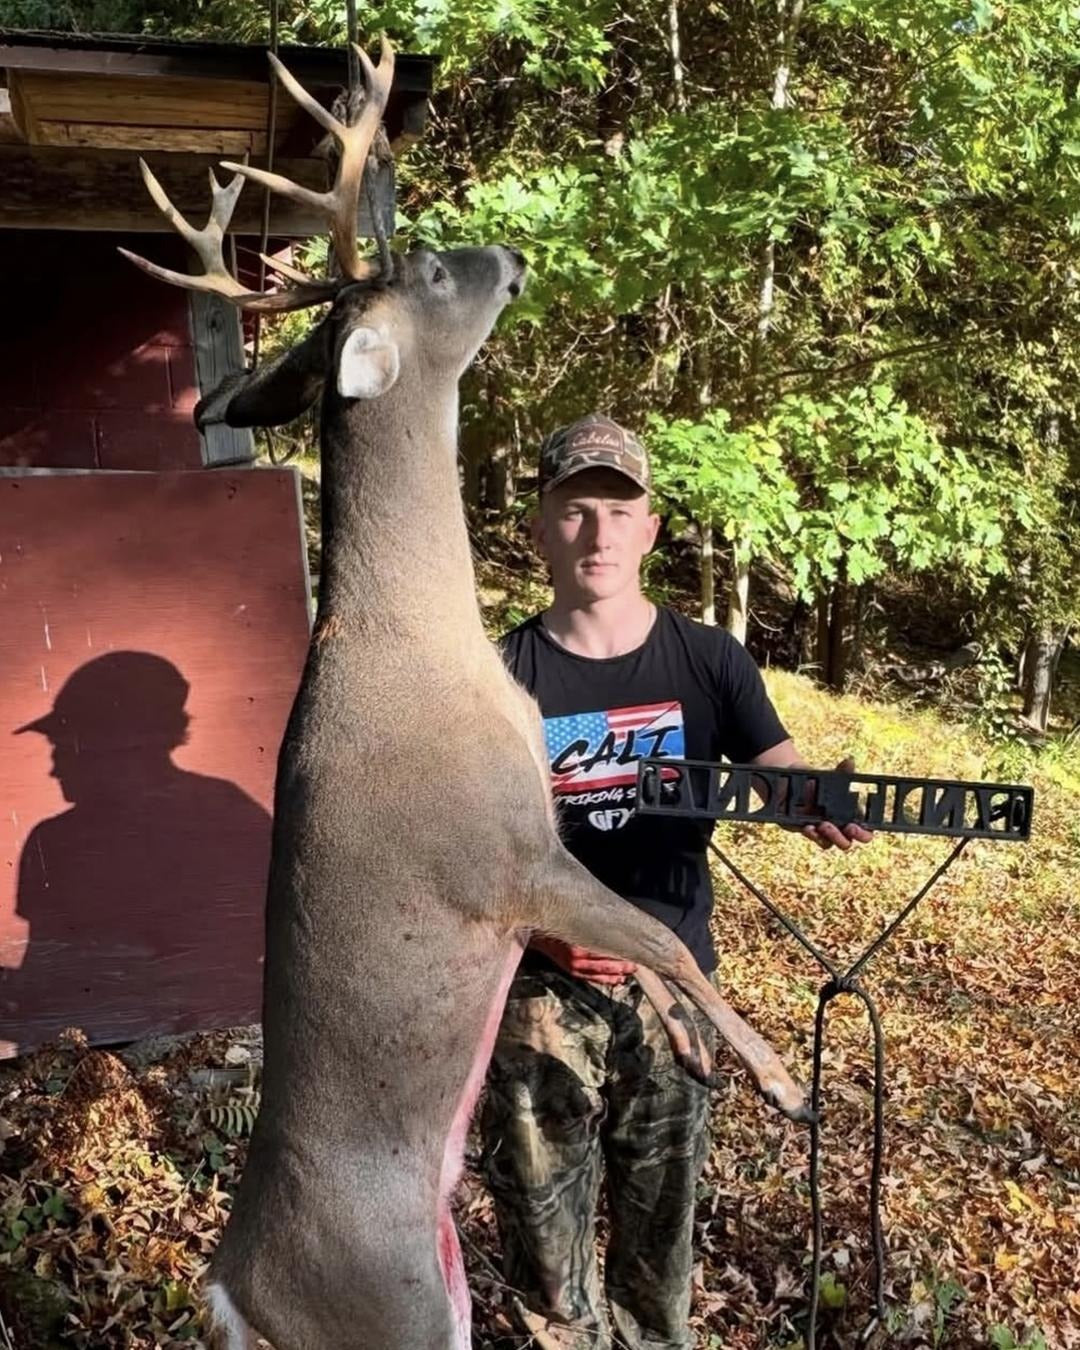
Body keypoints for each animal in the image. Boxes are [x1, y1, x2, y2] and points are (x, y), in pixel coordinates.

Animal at [120, 38, 810, 1350]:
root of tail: (235, 1296)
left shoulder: (540, 860)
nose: (515, 253)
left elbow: (648, 951)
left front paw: (700, 1055)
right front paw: (783, 1077)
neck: (423, 641)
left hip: (441, 1307)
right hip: (389, 1312)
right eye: (438, 266)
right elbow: (662, 934)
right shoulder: (506, 855)